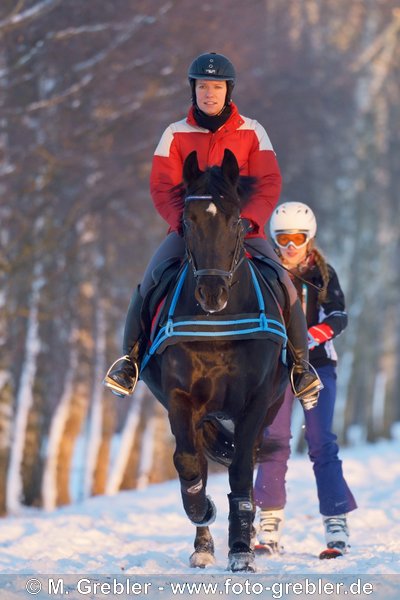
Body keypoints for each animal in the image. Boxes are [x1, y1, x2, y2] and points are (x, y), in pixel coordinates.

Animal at [141, 150, 288, 572]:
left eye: (236, 219)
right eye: (188, 221)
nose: (211, 293)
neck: (219, 326)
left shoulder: (255, 402)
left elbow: (240, 471)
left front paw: (240, 550)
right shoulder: (181, 399)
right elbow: (189, 464)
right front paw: (202, 511)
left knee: (248, 461)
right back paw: (204, 544)